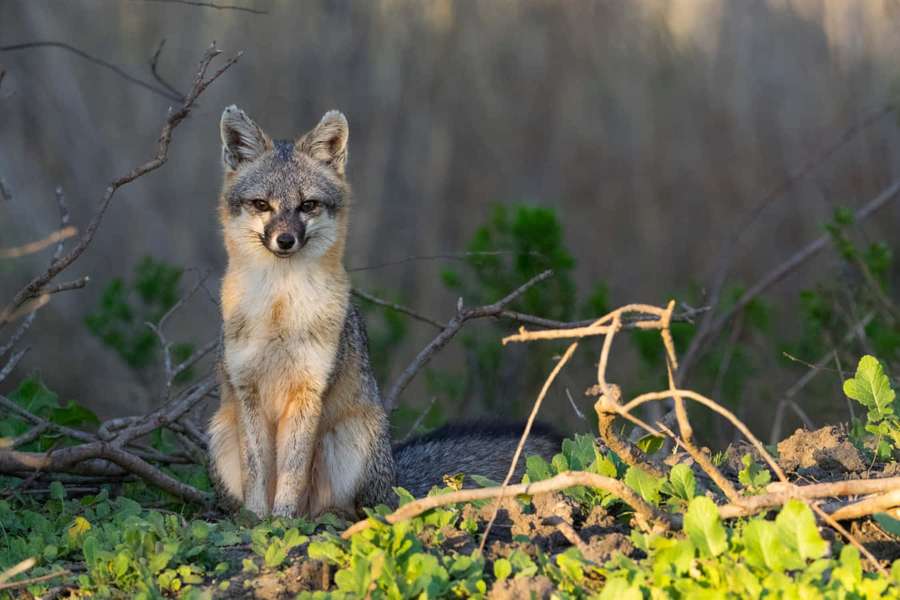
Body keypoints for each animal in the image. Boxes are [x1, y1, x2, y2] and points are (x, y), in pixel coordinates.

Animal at [208, 106, 560, 519]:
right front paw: (256, 521)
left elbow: (292, 476)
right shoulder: (247, 390)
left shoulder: (309, 390)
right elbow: (258, 475)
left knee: (348, 509)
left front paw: (282, 522)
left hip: (349, 440)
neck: (280, 309)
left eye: (307, 205)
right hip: (221, 434)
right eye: (262, 205)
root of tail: (392, 476)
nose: (285, 240)